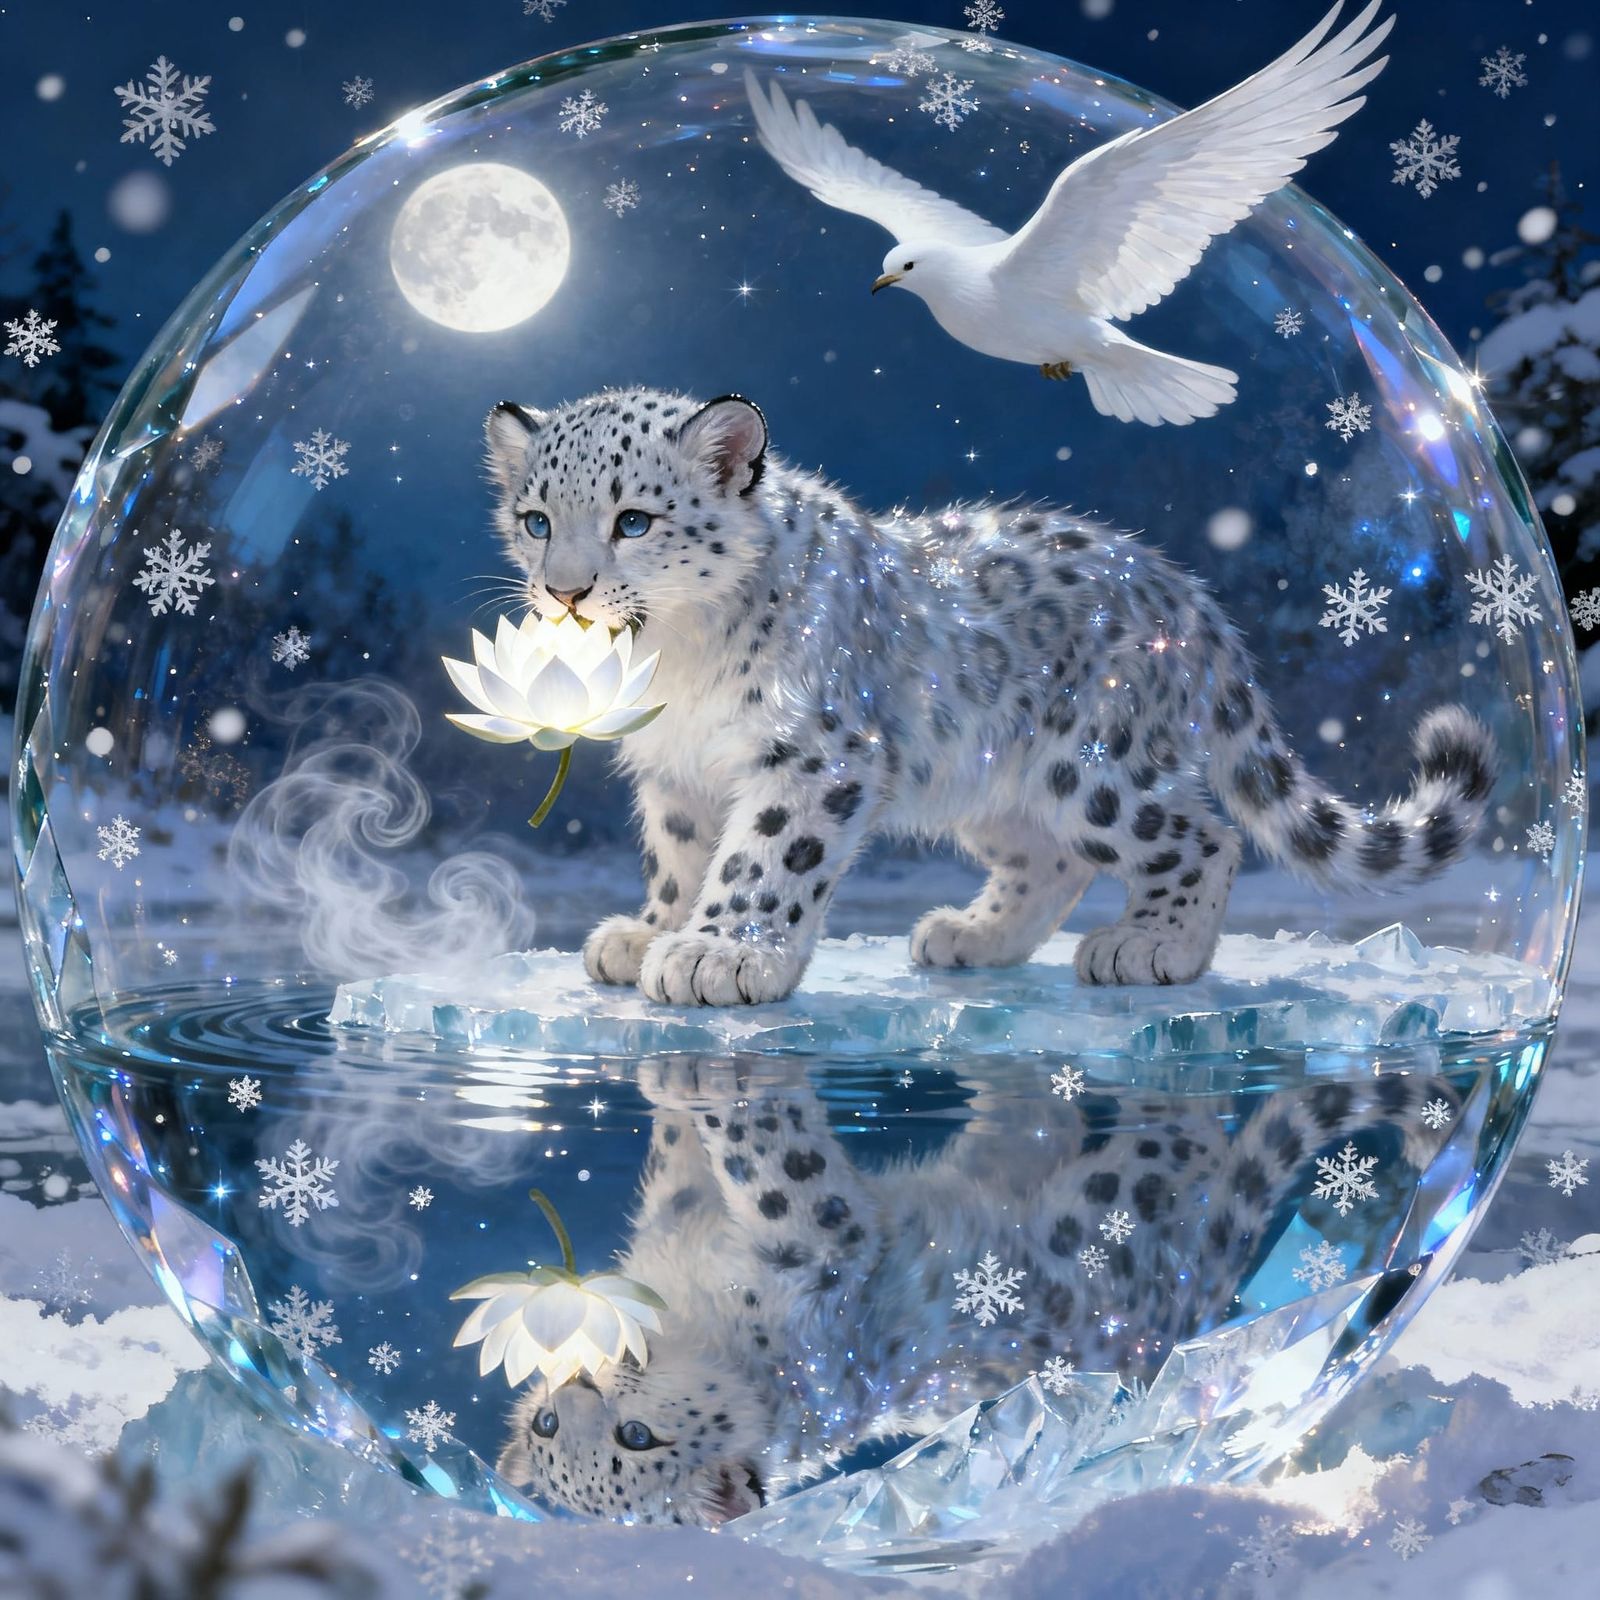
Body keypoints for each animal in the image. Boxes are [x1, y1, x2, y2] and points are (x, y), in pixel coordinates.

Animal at [483, 386, 1496, 1007]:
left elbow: (763, 857)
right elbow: (682, 856)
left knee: (1204, 836)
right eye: (536, 520)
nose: (565, 592)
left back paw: (1150, 948)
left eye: (633, 520)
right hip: (987, 784)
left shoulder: (811, 754)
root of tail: (1189, 596)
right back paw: (971, 938)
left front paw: (719, 954)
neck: (676, 660)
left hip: (1098, 771)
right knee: (1050, 860)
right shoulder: (676, 772)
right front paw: (649, 933)